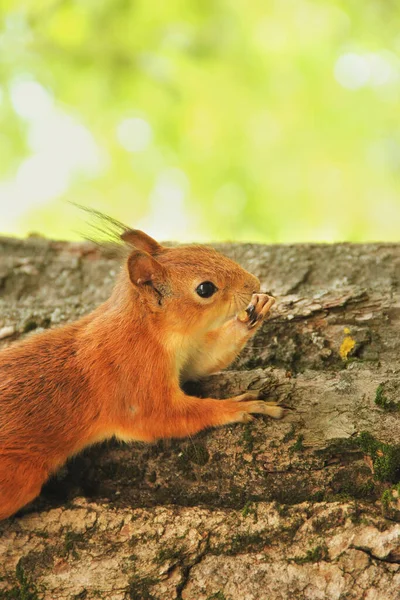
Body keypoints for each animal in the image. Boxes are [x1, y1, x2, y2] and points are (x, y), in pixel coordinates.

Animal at [0, 223, 282, 516]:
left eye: (206, 249)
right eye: (205, 289)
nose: (254, 284)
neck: (146, 328)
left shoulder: (186, 354)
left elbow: (204, 360)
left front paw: (254, 312)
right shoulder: (134, 378)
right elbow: (161, 416)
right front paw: (237, 407)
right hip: (19, 477)